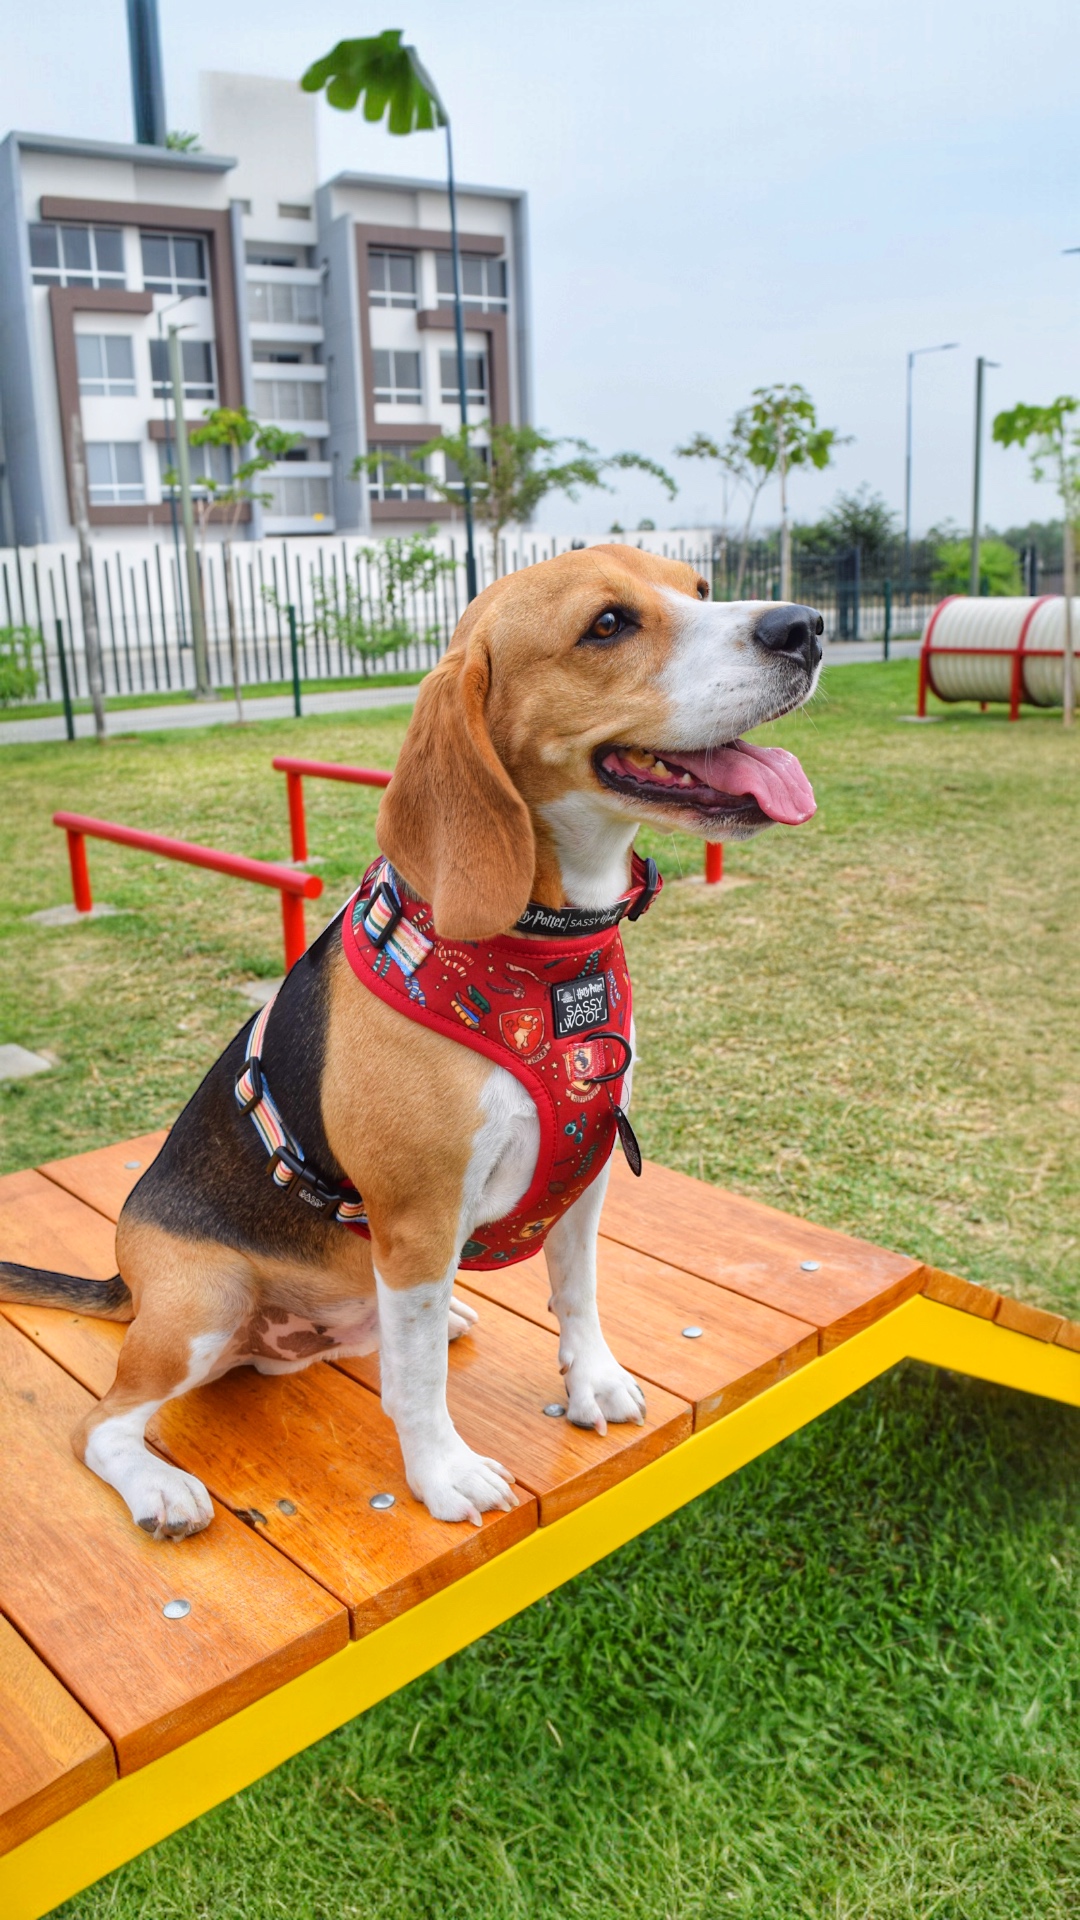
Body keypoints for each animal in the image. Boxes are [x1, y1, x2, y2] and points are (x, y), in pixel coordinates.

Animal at [0, 547, 820, 1539]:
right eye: (607, 626)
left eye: (699, 590)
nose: (805, 628)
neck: (538, 958)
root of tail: (133, 1284)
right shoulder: (418, 1216)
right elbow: (419, 1383)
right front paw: (443, 1473)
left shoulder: (584, 1175)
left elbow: (578, 1293)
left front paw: (592, 1382)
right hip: (207, 1299)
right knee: (102, 1423)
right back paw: (160, 1487)